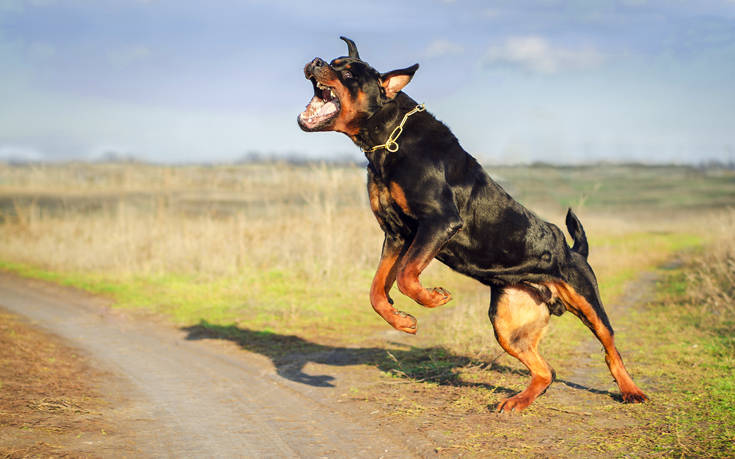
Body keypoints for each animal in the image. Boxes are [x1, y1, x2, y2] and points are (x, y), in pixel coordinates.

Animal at [296, 38, 648, 414]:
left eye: (348, 73)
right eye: (332, 62)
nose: (315, 61)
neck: (388, 139)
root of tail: (572, 251)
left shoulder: (438, 221)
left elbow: (406, 276)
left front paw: (434, 297)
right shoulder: (396, 234)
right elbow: (377, 291)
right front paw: (403, 321)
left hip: (586, 300)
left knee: (611, 349)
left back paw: (631, 391)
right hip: (508, 324)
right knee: (546, 371)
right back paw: (517, 401)